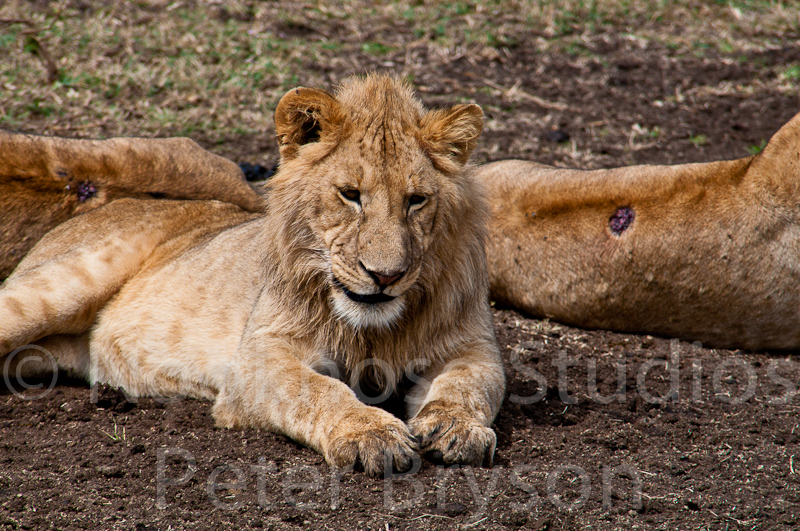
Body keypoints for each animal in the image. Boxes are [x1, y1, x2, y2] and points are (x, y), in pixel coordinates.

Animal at [0, 74, 506, 476]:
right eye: (350, 194)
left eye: (416, 200)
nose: (385, 275)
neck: (373, 330)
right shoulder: (258, 359)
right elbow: (319, 390)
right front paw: (371, 434)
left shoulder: (473, 347)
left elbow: (470, 385)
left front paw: (456, 428)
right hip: (60, 287)